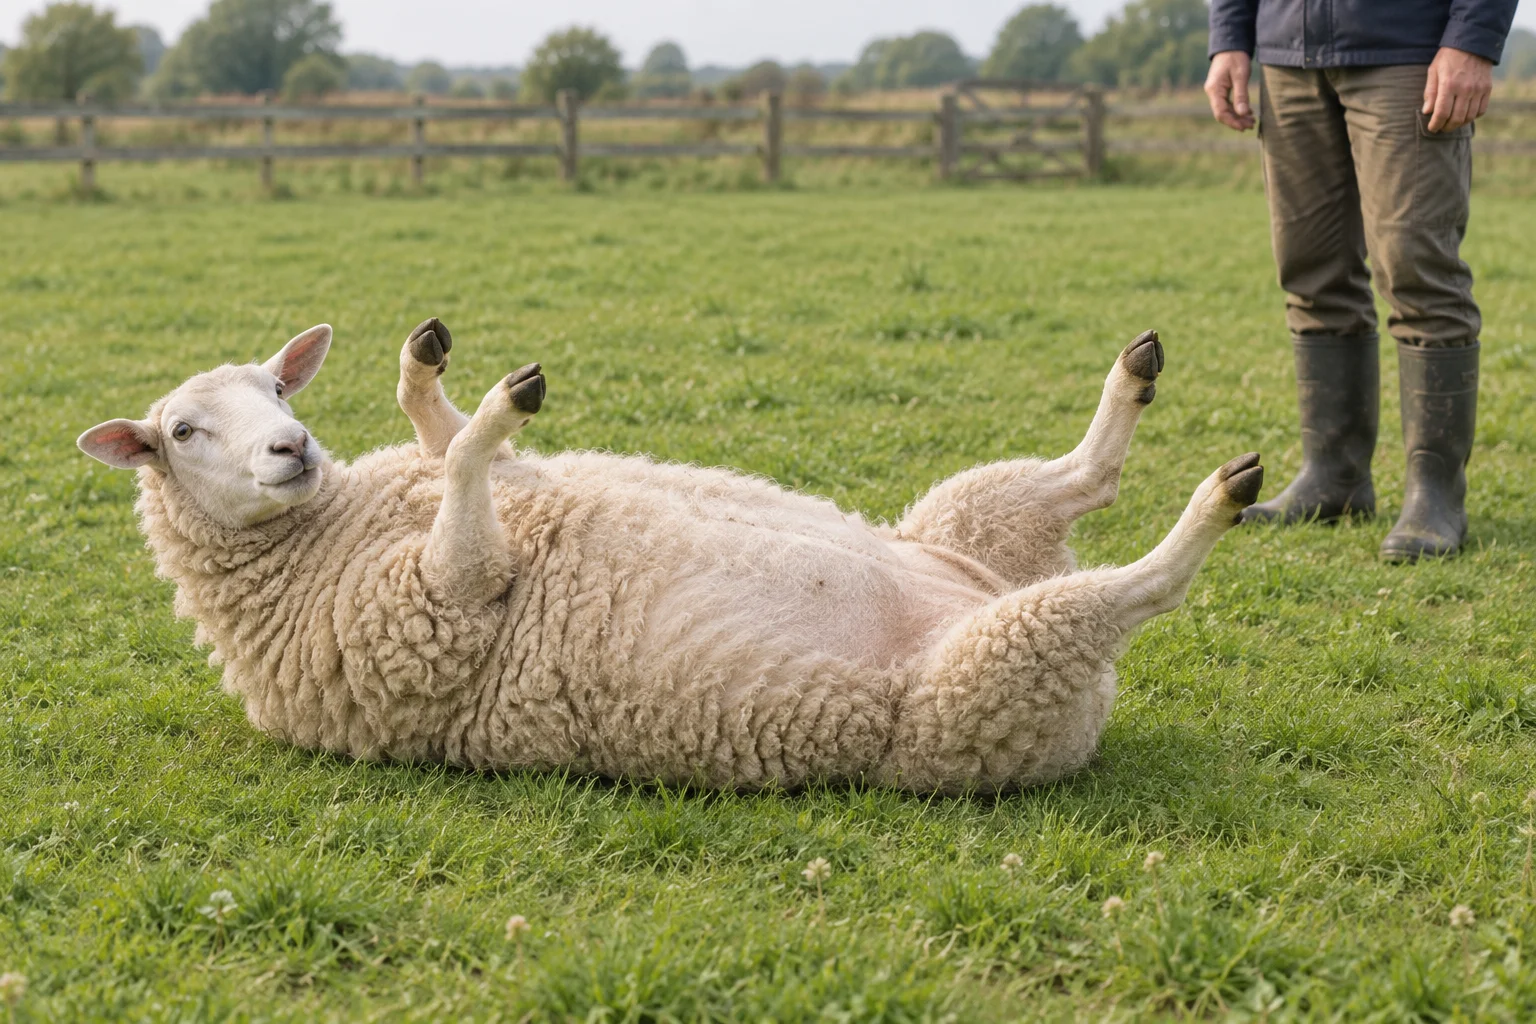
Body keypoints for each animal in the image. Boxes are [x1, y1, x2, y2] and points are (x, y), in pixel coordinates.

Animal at [77, 319, 1263, 793]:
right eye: (182, 431)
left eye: (279, 388)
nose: (292, 449)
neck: (327, 534)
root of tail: (1094, 709)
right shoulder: (453, 595)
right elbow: (467, 463)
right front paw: (491, 401)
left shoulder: (500, 514)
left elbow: (447, 443)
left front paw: (433, 375)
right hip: (1002, 671)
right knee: (1139, 589)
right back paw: (1215, 501)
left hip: (977, 524)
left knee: (1089, 481)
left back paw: (1135, 384)